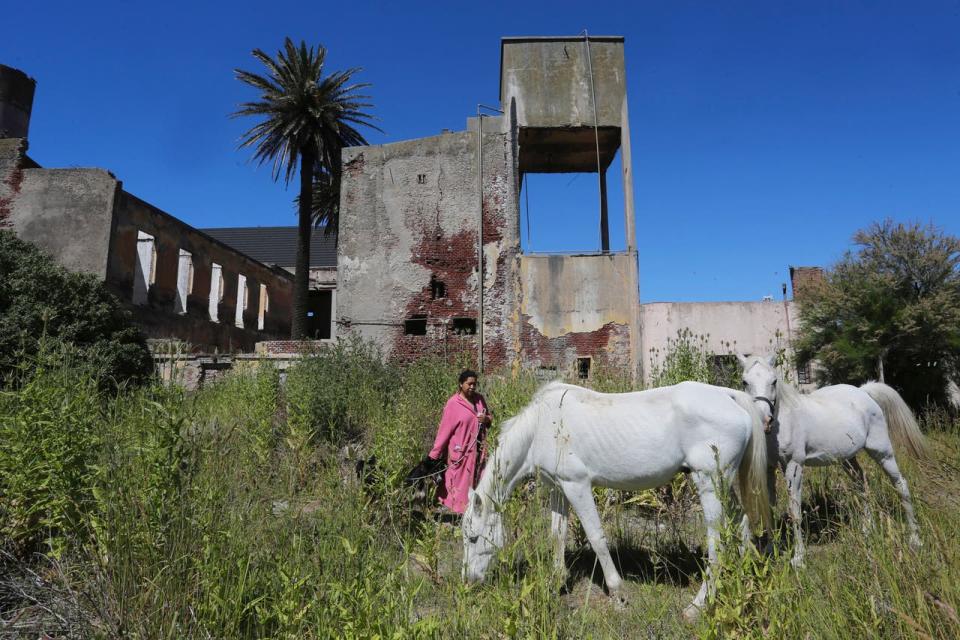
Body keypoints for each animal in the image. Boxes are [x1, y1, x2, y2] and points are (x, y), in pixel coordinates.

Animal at [462, 380, 768, 620]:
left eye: (474, 538)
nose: (469, 582)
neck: (542, 426)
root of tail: (728, 395)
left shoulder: (577, 486)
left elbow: (596, 537)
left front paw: (618, 593)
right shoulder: (557, 489)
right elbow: (557, 535)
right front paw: (556, 581)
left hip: (709, 482)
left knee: (717, 542)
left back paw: (698, 606)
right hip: (723, 484)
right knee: (742, 523)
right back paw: (741, 580)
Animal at [740, 352, 928, 568]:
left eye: (774, 381)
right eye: (744, 382)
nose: (763, 420)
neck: (785, 420)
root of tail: (864, 392)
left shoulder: (794, 467)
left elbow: (795, 511)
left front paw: (799, 558)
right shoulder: (768, 469)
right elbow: (769, 508)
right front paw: (772, 549)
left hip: (882, 452)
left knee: (900, 484)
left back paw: (915, 539)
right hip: (847, 459)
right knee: (862, 483)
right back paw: (867, 529)